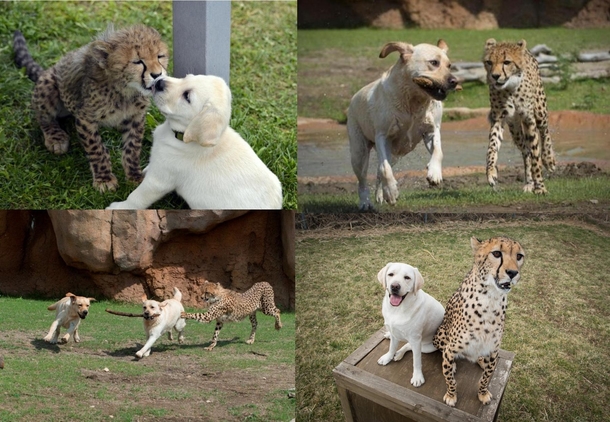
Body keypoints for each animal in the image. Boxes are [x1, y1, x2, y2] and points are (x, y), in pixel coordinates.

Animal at [105, 75, 282, 210]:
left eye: (187, 97)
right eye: (186, 77)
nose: (160, 81)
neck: (181, 137)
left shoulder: (159, 181)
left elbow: (137, 197)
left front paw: (119, 207)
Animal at [344, 40, 458, 210]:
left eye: (449, 65)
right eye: (434, 63)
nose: (455, 81)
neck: (413, 102)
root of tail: (353, 98)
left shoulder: (432, 130)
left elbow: (438, 151)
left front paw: (435, 173)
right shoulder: (382, 136)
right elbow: (385, 169)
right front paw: (391, 192)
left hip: (395, 153)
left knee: (379, 171)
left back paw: (380, 195)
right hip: (359, 151)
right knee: (364, 178)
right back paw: (365, 202)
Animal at [432, 236, 524, 408]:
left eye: (519, 256)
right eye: (496, 253)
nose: (513, 273)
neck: (491, 298)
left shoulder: (493, 351)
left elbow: (486, 377)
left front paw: (483, 393)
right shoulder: (450, 349)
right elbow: (449, 378)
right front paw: (451, 394)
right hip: (439, 335)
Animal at [482, 38, 552, 194]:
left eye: (506, 62)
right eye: (489, 62)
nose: (495, 76)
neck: (510, 87)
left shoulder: (529, 120)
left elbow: (536, 156)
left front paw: (540, 187)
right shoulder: (498, 118)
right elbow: (492, 147)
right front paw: (491, 173)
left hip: (540, 111)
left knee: (544, 131)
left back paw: (549, 160)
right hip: (515, 130)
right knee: (526, 151)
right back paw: (529, 183)